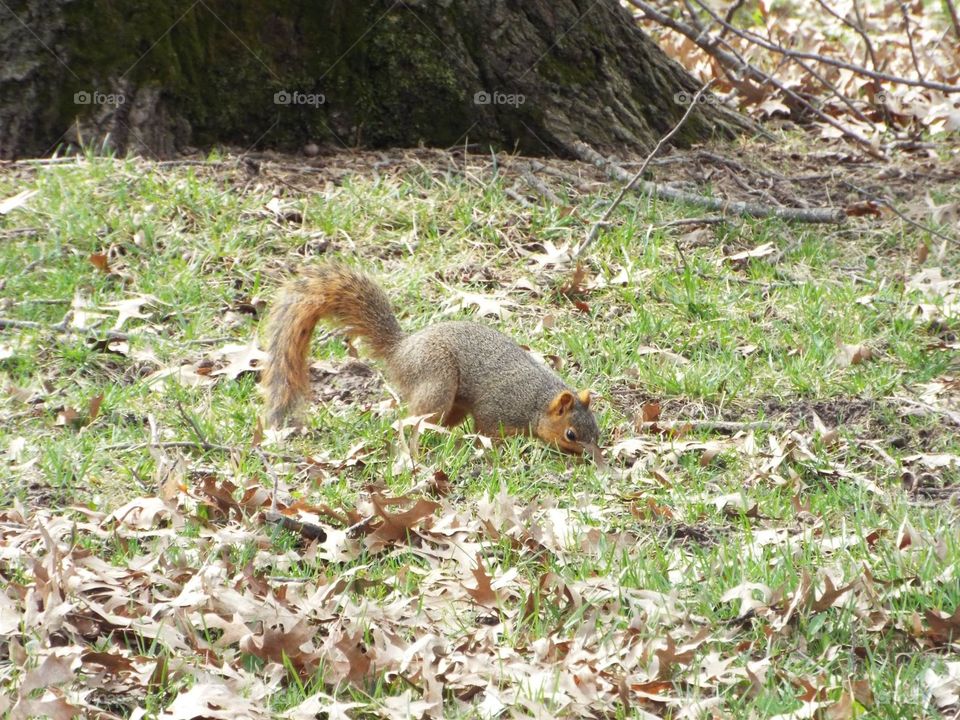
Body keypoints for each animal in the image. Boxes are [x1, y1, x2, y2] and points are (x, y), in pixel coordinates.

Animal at [261, 263, 600, 454]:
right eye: (570, 434)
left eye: (596, 431)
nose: (592, 458)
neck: (538, 400)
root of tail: (401, 350)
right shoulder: (498, 409)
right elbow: (488, 430)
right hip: (436, 379)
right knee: (414, 420)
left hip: (452, 400)